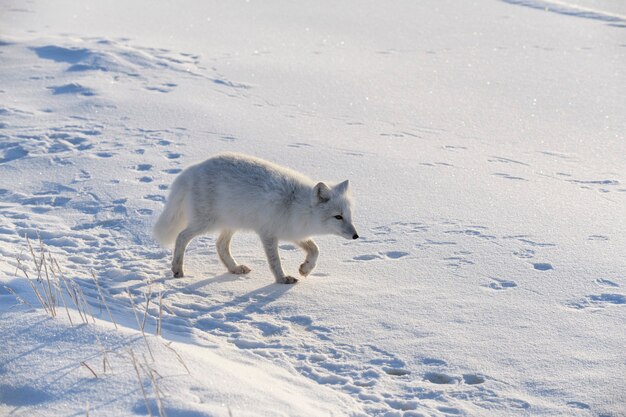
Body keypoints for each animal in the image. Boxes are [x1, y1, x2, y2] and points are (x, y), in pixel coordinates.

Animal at [152, 153, 356, 282]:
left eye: (348, 216)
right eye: (338, 217)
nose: (356, 236)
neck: (296, 204)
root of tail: (191, 170)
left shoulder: (293, 233)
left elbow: (315, 249)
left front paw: (305, 269)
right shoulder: (268, 234)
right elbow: (275, 261)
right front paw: (282, 279)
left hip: (230, 224)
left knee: (220, 245)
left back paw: (234, 268)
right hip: (206, 223)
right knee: (181, 237)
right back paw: (177, 269)